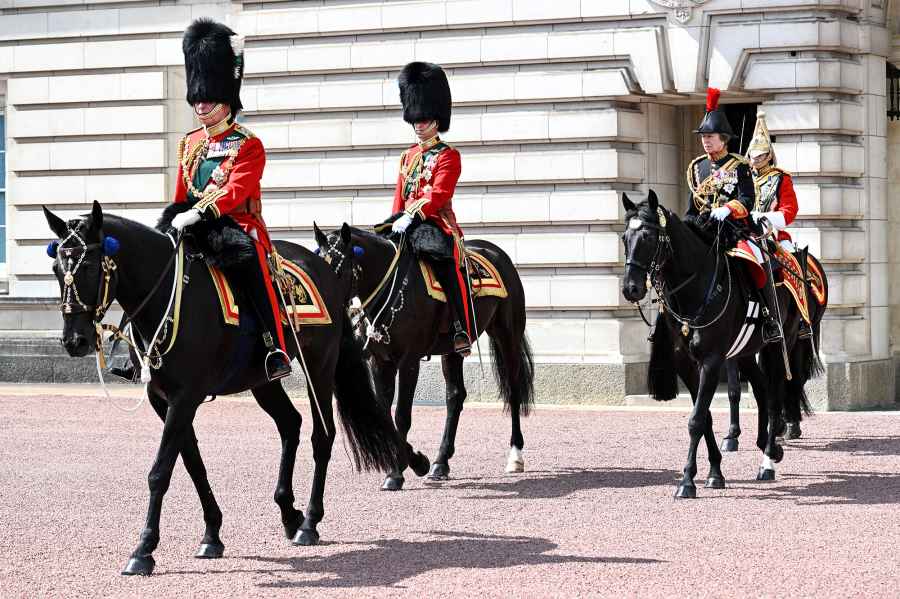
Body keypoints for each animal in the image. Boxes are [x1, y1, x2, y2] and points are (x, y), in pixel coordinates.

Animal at [42, 203, 400, 576]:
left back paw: (309, 522)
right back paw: (289, 512)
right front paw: (212, 533)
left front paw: (143, 549)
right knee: (290, 424)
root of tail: (325, 269)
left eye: (89, 266)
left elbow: (160, 471)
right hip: (261, 380)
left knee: (323, 435)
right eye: (56, 268)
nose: (74, 341)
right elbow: (192, 463)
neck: (169, 296)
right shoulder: (164, 400)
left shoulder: (185, 397)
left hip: (320, 367)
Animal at [314, 225, 536, 492]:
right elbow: (384, 413)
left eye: (339, 270)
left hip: (507, 336)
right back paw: (441, 463)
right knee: (455, 396)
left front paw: (402, 470)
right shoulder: (380, 362)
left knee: (513, 391)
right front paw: (403, 465)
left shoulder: (409, 361)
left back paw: (515, 455)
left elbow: (401, 416)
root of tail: (496, 251)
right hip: (453, 351)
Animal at [624, 191, 828, 496]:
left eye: (648, 236)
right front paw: (714, 472)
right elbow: (705, 415)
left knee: (778, 391)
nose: (630, 288)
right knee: (763, 389)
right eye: (624, 237)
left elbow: (696, 419)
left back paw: (768, 459)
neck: (695, 289)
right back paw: (767, 445)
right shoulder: (687, 363)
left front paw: (687, 481)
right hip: (746, 351)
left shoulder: (712, 360)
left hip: (781, 343)